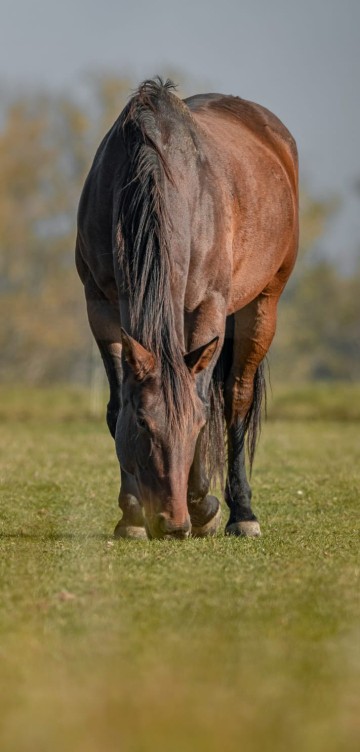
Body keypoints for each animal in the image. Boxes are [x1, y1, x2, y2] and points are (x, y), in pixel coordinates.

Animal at [76, 78, 298, 540]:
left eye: (194, 427)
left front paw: (203, 505)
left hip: (263, 304)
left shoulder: (207, 308)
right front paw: (131, 516)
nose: (173, 523)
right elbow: (115, 403)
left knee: (235, 399)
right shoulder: (100, 307)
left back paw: (241, 513)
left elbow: (202, 397)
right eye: (143, 423)